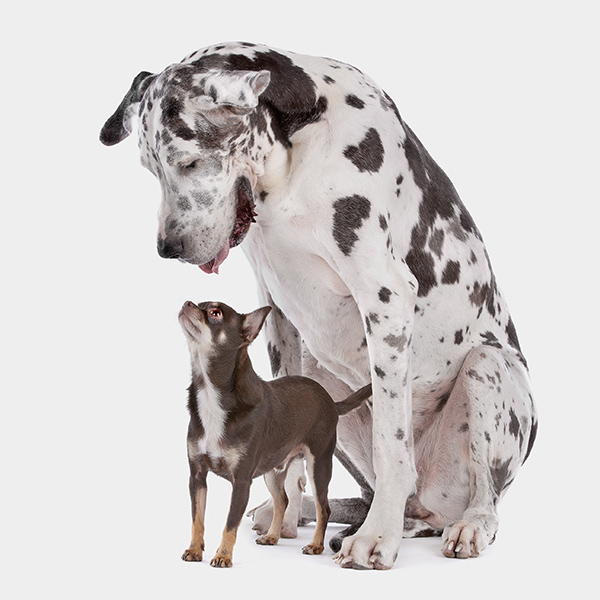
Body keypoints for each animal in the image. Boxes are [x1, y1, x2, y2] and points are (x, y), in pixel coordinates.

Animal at [178, 300, 370, 568]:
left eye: (215, 313)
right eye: (199, 303)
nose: (187, 303)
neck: (210, 394)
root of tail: (331, 402)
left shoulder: (241, 482)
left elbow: (230, 523)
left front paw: (223, 555)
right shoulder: (197, 476)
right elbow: (197, 518)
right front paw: (195, 550)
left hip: (318, 465)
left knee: (323, 508)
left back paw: (315, 545)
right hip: (272, 470)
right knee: (283, 501)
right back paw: (272, 536)